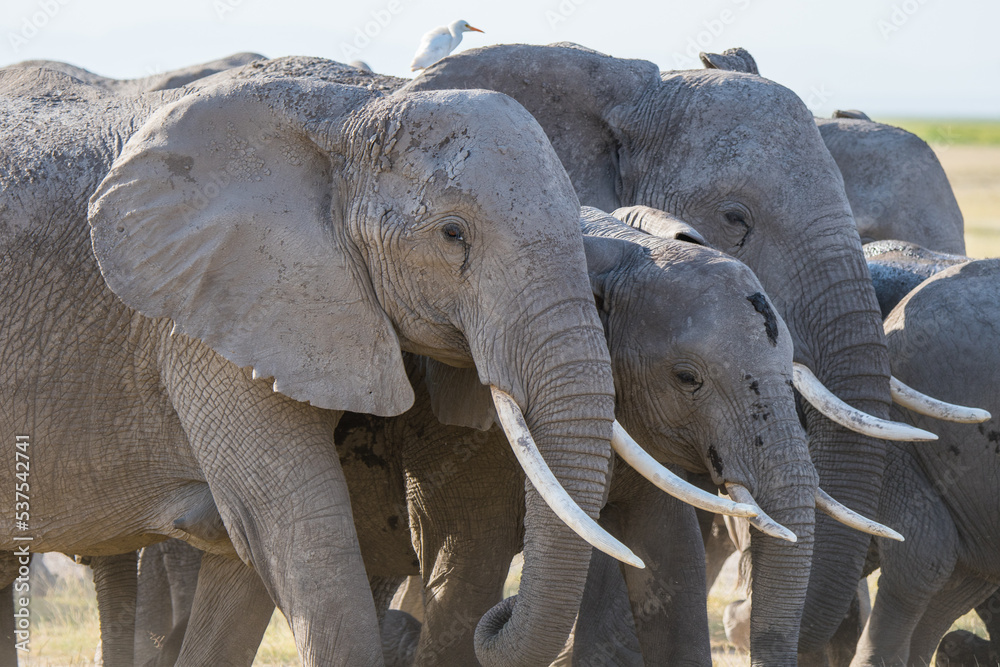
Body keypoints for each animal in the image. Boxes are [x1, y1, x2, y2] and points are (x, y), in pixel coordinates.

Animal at [0, 56, 638, 666]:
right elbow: (298, 530)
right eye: (453, 234)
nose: (497, 614)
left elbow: (248, 561)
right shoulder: (213, 312)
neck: (352, 110)